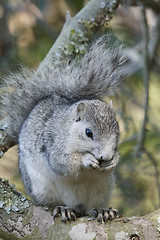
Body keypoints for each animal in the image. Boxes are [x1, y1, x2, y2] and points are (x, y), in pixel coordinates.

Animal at [0, 34, 127, 222]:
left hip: (102, 190)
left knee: (91, 207)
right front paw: (86, 160)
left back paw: (101, 210)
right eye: (88, 133)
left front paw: (114, 161)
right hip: (43, 188)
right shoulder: (54, 141)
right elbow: (61, 162)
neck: (69, 129)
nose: (106, 156)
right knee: (54, 203)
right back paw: (63, 209)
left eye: (117, 132)